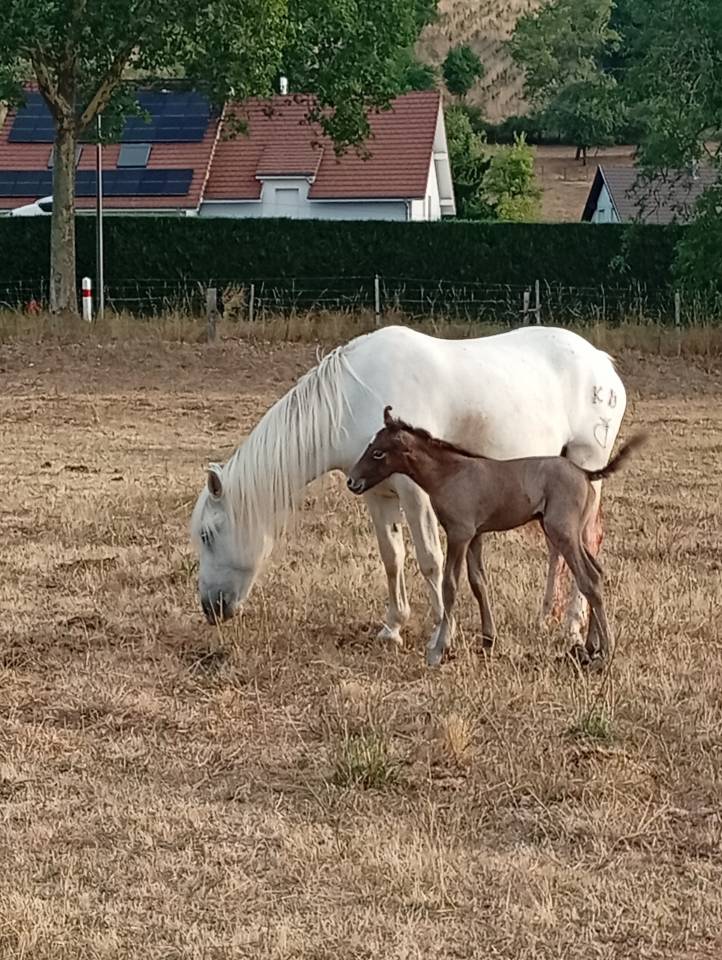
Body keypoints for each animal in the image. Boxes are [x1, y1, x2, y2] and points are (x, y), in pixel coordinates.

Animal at [189, 324, 627, 645]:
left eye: (209, 534)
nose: (211, 608)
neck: (351, 400)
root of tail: (602, 364)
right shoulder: (376, 495)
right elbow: (392, 557)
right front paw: (393, 627)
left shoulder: (416, 495)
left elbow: (431, 560)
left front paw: (442, 631)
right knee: (559, 549)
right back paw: (546, 616)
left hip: (585, 471)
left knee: (586, 544)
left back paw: (573, 628)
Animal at [347, 406, 645, 666]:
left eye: (378, 453)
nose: (352, 481)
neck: (449, 474)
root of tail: (585, 473)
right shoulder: (474, 535)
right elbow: (478, 582)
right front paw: (488, 640)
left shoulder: (459, 533)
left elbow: (450, 585)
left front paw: (438, 650)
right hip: (575, 534)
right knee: (598, 572)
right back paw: (592, 646)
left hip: (563, 532)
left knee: (589, 579)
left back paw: (605, 651)